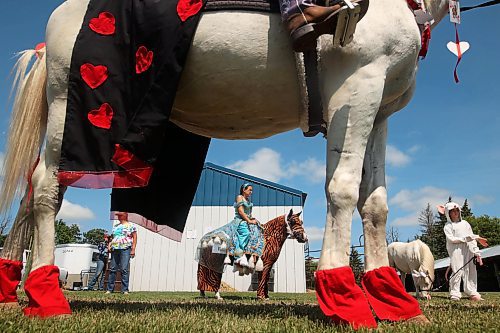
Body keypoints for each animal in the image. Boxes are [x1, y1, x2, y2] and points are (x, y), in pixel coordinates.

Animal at [0, 0, 452, 326]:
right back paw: (47, 296)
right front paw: (344, 299)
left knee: (33, 192)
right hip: (69, 109)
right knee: (47, 189)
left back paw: (20, 290)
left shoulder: (379, 111)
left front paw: (393, 302)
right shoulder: (357, 87)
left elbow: (374, 204)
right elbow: (341, 189)